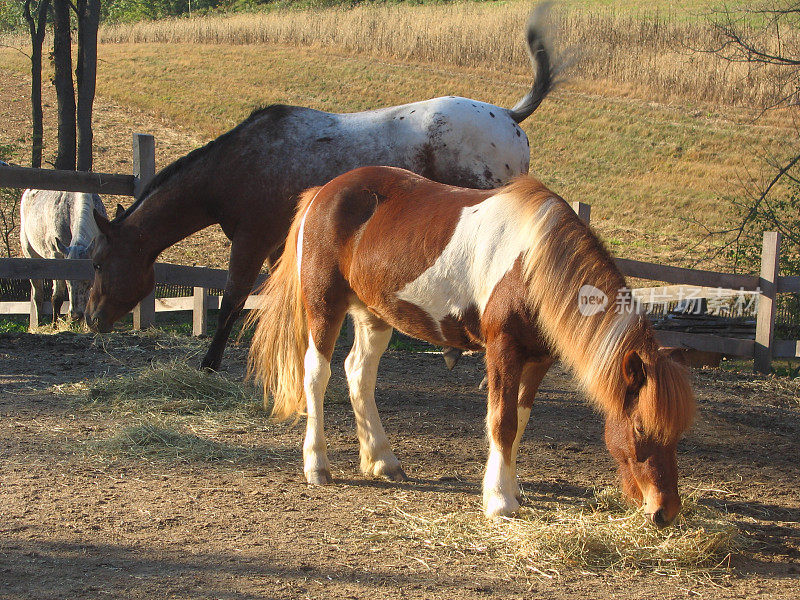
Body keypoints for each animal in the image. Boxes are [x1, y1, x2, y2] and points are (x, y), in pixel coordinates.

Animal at [19, 191, 107, 324]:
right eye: (67, 281)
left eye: (87, 280)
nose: (76, 315)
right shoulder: (57, 256)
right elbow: (57, 297)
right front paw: (55, 325)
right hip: (29, 254)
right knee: (37, 295)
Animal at [83, 10, 556, 370]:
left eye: (98, 262)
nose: (91, 318)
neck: (236, 164)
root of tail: (508, 115)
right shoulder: (278, 243)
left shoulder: (251, 241)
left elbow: (234, 296)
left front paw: (210, 362)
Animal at [250, 165, 692, 524]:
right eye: (640, 426)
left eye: (678, 431)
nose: (665, 511)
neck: (531, 265)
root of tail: (322, 191)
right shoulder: (502, 349)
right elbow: (502, 421)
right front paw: (499, 501)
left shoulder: (537, 360)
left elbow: (519, 421)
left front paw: (511, 487)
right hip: (325, 305)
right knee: (317, 375)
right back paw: (317, 465)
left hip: (374, 314)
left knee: (358, 373)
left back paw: (383, 461)